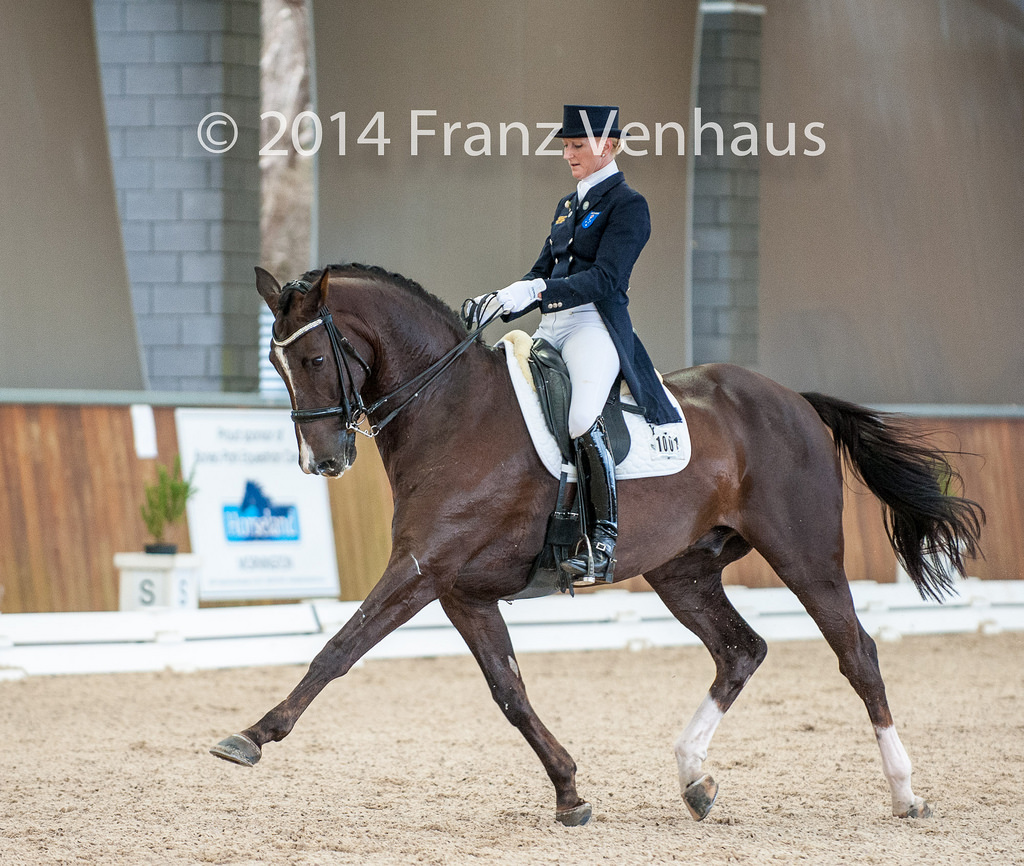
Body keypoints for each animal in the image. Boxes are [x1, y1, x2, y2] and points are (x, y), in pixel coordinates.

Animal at [211, 262, 983, 826]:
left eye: (314, 357)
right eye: (277, 364)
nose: (322, 462)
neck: (452, 412)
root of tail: (793, 398)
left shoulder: (421, 569)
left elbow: (338, 649)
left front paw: (250, 736)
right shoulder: (460, 590)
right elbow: (509, 692)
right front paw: (570, 793)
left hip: (806, 556)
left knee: (858, 655)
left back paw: (904, 793)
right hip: (683, 572)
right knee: (741, 650)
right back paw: (694, 778)